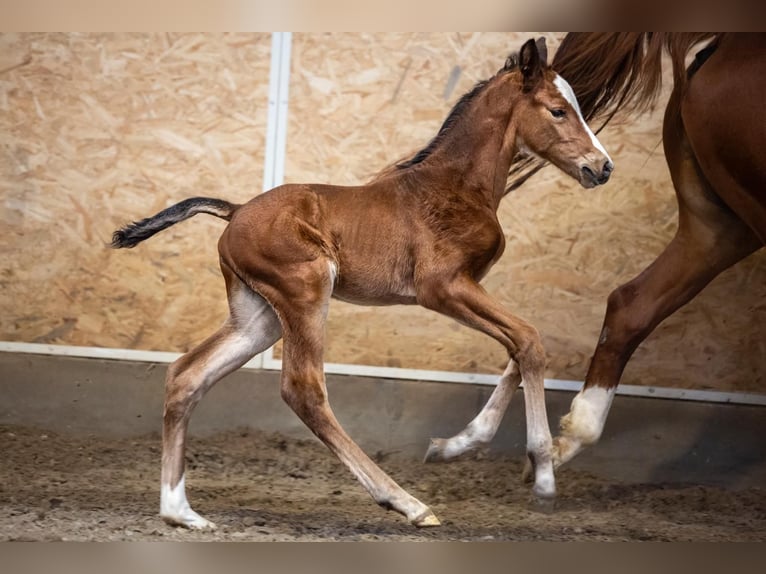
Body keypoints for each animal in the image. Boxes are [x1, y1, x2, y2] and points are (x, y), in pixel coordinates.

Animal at [111, 37, 616, 532]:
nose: (603, 167)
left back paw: (181, 512)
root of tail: (234, 211)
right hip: (306, 290)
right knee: (302, 389)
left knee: (187, 375)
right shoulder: (443, 288)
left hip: (259, 318)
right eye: (557, 110)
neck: (456, 186)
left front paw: (454, 446)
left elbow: (521, 346)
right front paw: (543, 476)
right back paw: (408, 503)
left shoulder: (468, 288)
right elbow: (528, 341)